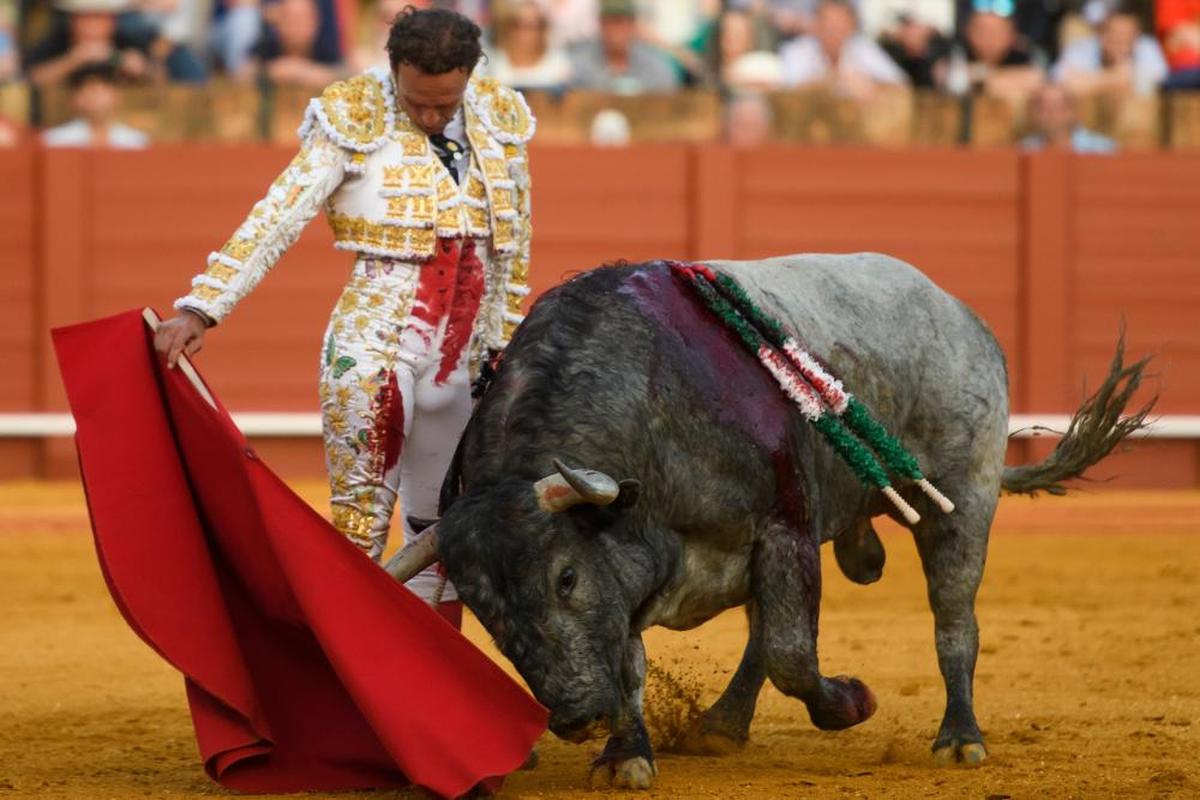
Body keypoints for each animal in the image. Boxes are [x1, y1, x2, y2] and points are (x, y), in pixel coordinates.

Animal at [388, 255, 1147, 786]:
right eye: (481, 607)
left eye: (565, 578)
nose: (575, 718)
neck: (652, 405)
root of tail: (962, 315)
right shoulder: (637, 566)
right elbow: (636, 662)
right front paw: (626, 753)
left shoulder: (783, 528)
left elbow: (792, 653)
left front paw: (852, 701)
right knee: (765, 633)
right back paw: (722, 726)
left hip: (963, 498)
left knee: (952, 619)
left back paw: (959, 739)